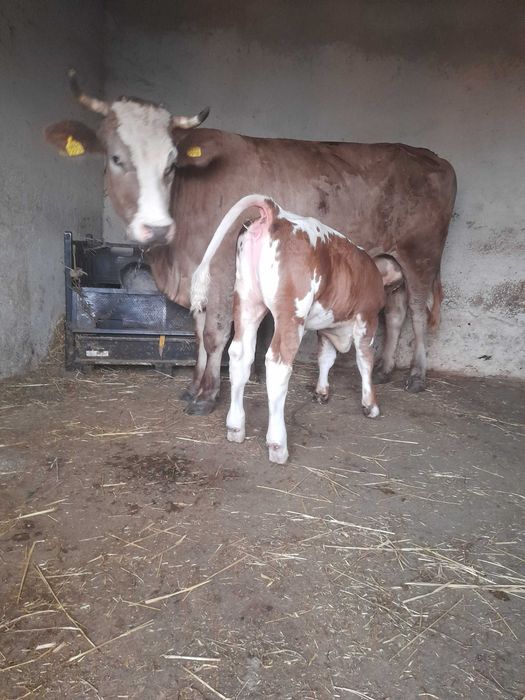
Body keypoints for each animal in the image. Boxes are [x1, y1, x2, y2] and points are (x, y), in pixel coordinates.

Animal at [45, 70, 457, 415]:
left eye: (171, 163)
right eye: (116, 158)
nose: (157, 228)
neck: (173, 258)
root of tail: (431, 156)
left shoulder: (221, 267)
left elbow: (215, 334)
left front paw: (207, 395)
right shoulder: (198, 274)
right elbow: (198, 333)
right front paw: (194, 386)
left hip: (421, 255)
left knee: (417, 313)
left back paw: (416, 375)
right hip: (391, 263)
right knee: (396, 313)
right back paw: (386, 369)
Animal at [191, 195, 388, 464]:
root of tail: (276, 212)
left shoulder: (325, 327)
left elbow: (326, 358)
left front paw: (321, 392)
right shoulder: (367, 318)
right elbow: (364, 360)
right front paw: (370, 404)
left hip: (247, 301)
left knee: (239, 356)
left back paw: (235, 427)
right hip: (291, 313)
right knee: (277, 364)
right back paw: (277, 444)